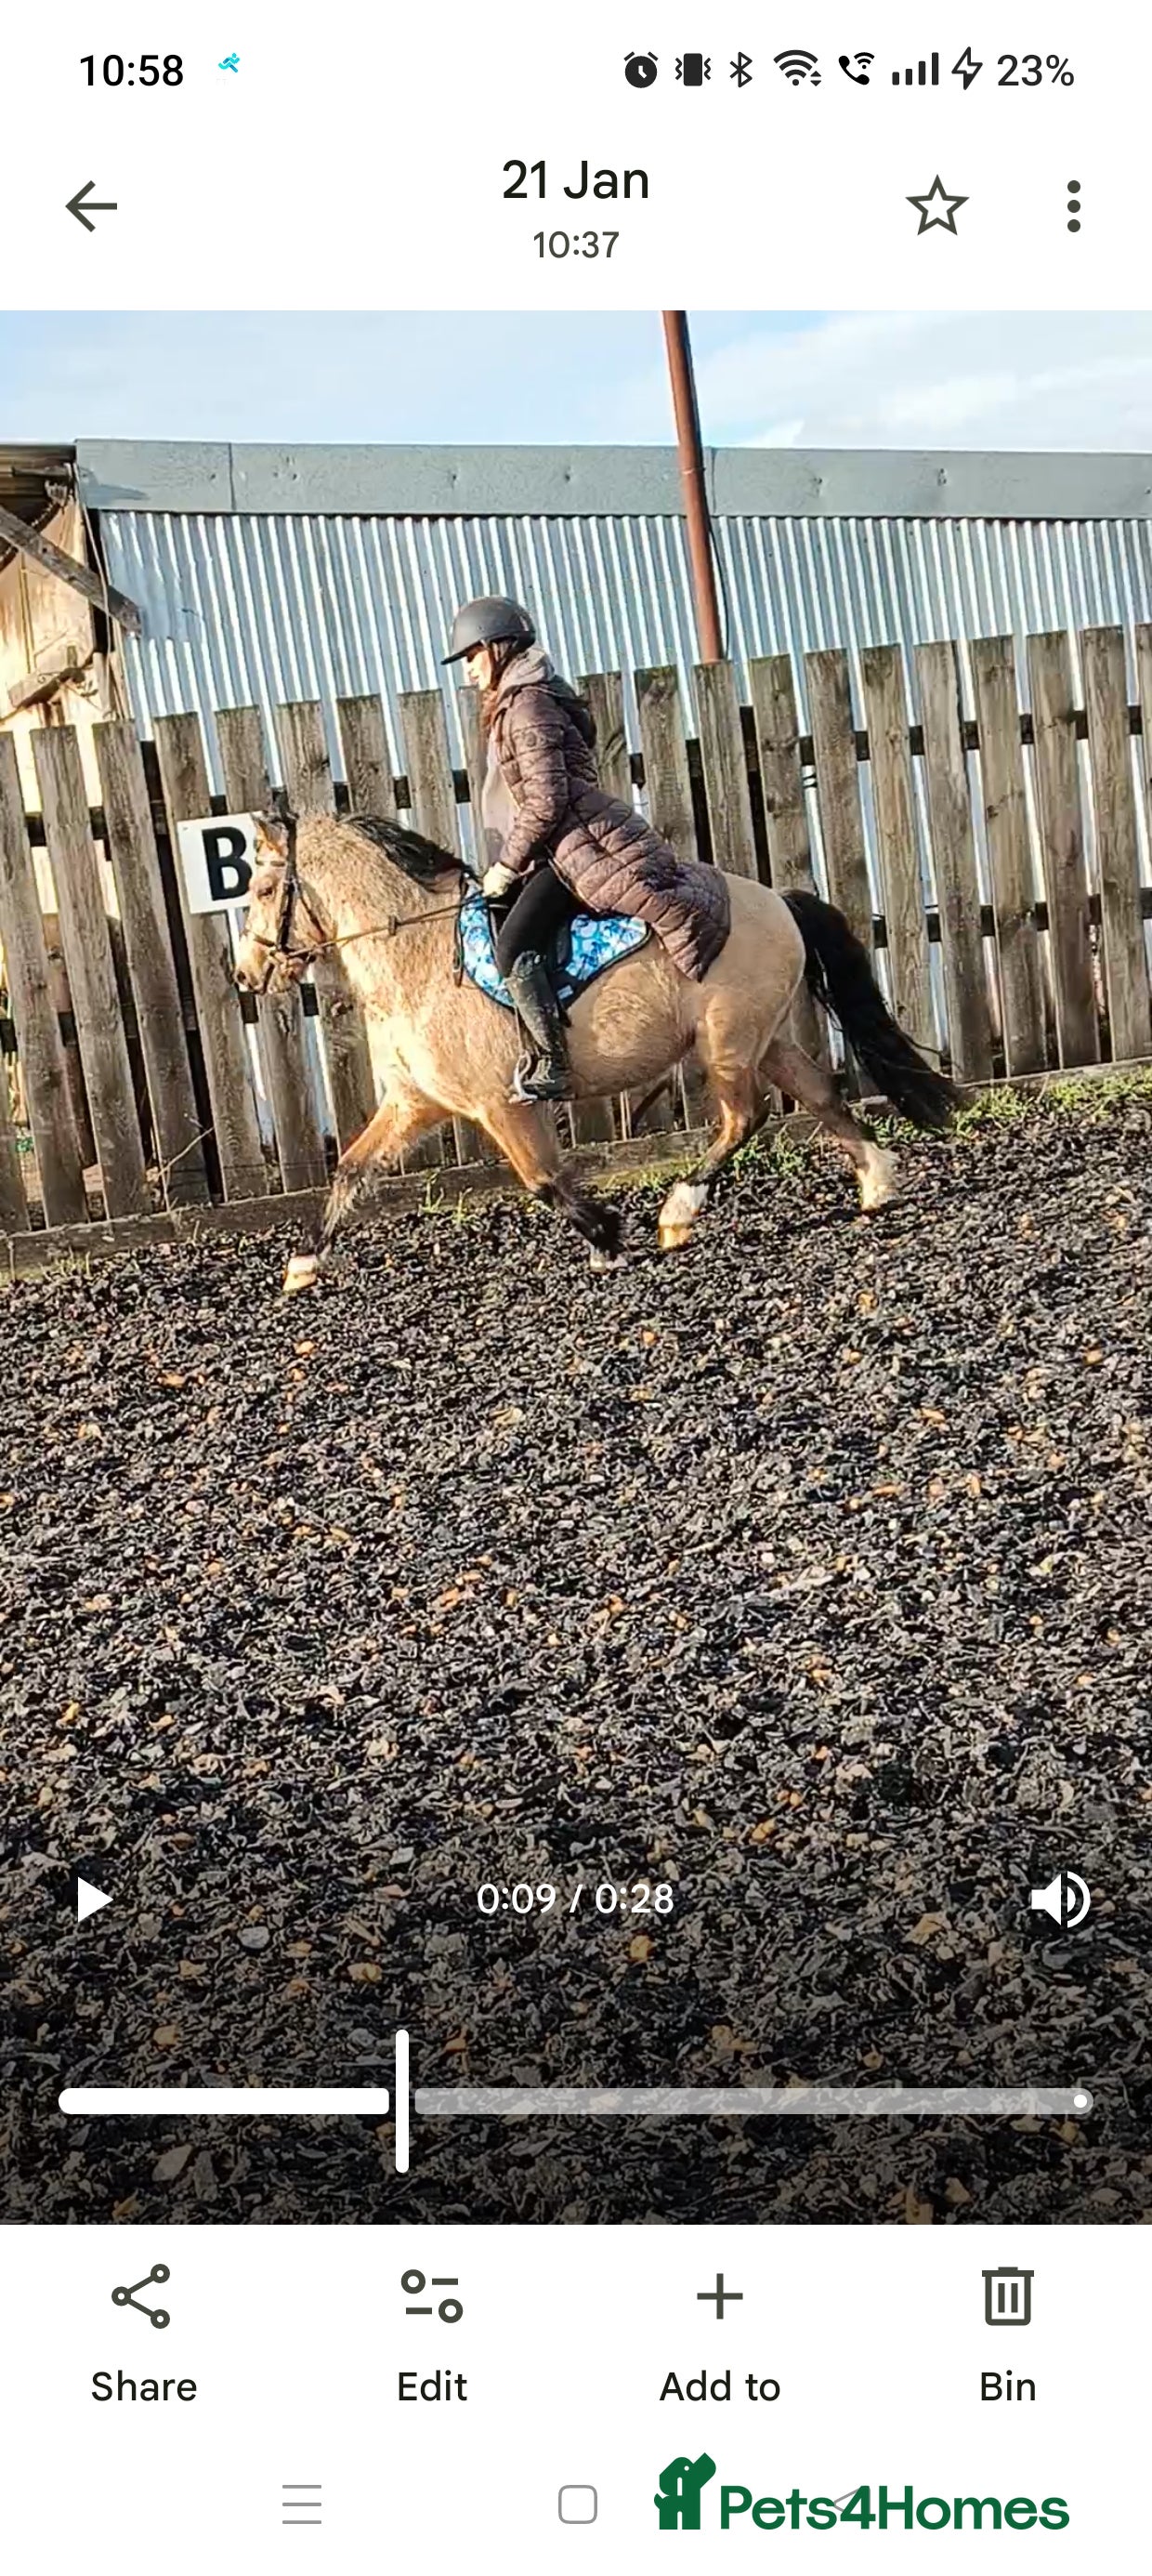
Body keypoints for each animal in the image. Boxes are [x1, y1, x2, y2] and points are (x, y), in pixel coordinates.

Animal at [232, 812, 954, 1293]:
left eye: (264, 891)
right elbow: (351, 1170)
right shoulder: (416, 1104)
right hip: (765, 1039)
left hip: (726, 1044)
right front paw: (303, 1263)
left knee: (746, 1116)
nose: (245, 975)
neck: (419, 958)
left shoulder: (502, 1105)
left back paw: (678, 1212)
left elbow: (542, 1180)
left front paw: (609, 1238)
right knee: (821, 1095)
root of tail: (777, 899)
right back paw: (878, 1182)